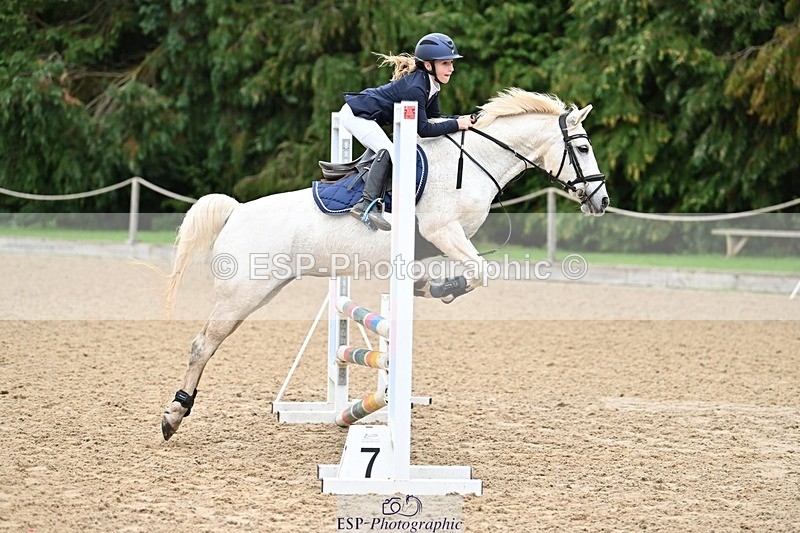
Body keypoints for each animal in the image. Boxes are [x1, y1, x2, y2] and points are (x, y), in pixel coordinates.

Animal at [160, 88, 610, 440]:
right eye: (583, 148)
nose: (602, 201)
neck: (474, 163)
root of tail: (235, 211)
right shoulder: (443, 230)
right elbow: (481, 273)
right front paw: (436, 289)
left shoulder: (446, 240)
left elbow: (473, 271)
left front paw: (426, 286)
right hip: (242, 295)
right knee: (202, 345)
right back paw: (174, 415)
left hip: (263, 291)